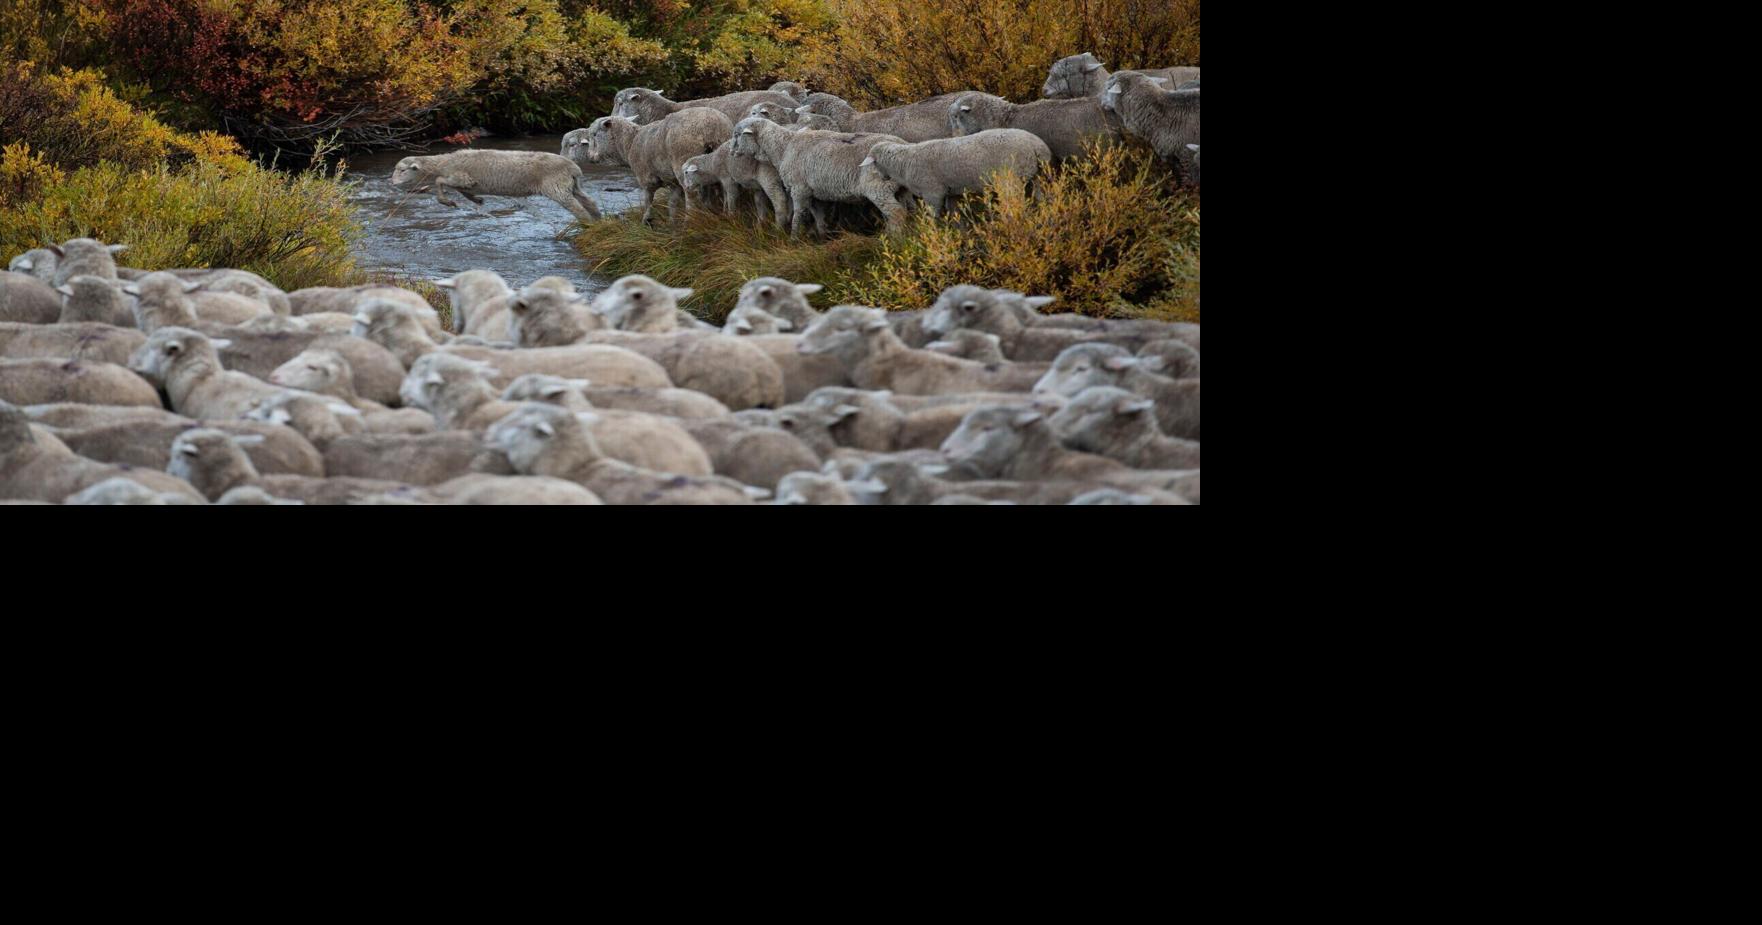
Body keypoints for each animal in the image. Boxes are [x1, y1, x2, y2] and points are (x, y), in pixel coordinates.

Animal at [390, 149, 600, 221]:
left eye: (402, 170)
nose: (391, 182)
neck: (444, 163)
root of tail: (574, 168)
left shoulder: (459, 176)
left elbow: (439, 181)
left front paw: (447, 202)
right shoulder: (468, 182)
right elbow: (462, 191)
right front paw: (477, 200)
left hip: (556, 187)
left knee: (579, 209)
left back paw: (585, 225)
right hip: (572, 186)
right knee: (589, 202)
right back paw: (597, 219)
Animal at [577, 109, 733, 224]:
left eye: (594, 134)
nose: (589, 156)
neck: (629, 143)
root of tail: (713, 127)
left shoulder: (645, 179)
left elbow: (648, 201)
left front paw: (646, 221)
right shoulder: (673, 182)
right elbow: (672, 203)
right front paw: (672, 222)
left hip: (684, 159)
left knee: (692, 194)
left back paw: (690, 221)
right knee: (722, 188)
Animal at [730, 117, 906, 236]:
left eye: (737, 134)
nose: (731, 151)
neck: (784, 147)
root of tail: (904, 145)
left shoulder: (799, 189)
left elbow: (798, 215)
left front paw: (794, 238)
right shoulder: (814, 192)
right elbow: (819, 216)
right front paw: (823, 236)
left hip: (879, 188)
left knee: (898, 214)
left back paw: (894, 239)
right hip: (903, 189)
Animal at [862, 129, 1051, 216]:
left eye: (875, 164)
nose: (884, 178)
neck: (904, 163)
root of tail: (1037, 145)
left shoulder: (933, 193)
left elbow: (933, 216)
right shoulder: (952, 192)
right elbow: (954, 214)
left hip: (1010, 178)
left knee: (1016, 202)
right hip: (1038, 174)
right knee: (1040, 195)